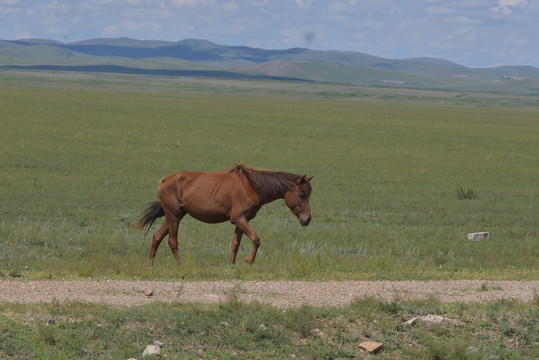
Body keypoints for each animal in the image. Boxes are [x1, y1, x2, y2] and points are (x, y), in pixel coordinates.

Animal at [136, 165, 312, 266]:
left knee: (156, 237)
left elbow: (235, 244)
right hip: (173, 217)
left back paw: (150, 264)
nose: (308, 219)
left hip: (174, 216)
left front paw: (231, 265)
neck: (251, 187)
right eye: (301, 194)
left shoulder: (242, 221)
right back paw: (179, 266)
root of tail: (165, 181)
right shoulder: (239, 219)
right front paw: (249, 260)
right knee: (172, 241)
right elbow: (256, 239)